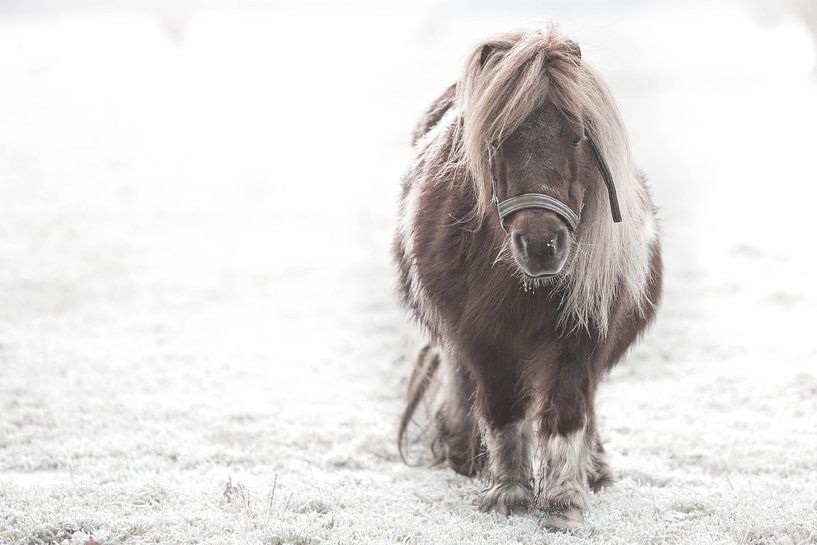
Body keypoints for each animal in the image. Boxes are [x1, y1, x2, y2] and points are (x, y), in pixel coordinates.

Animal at [390, 27, 664, 528]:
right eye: (496, 141)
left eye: (577, 137)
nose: (540, 245)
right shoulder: (484, 339)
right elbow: (504, 414)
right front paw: (509, 493)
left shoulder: (581, 336)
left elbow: (568, 416)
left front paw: (564, 502)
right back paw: (460, 448)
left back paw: (594, 467)